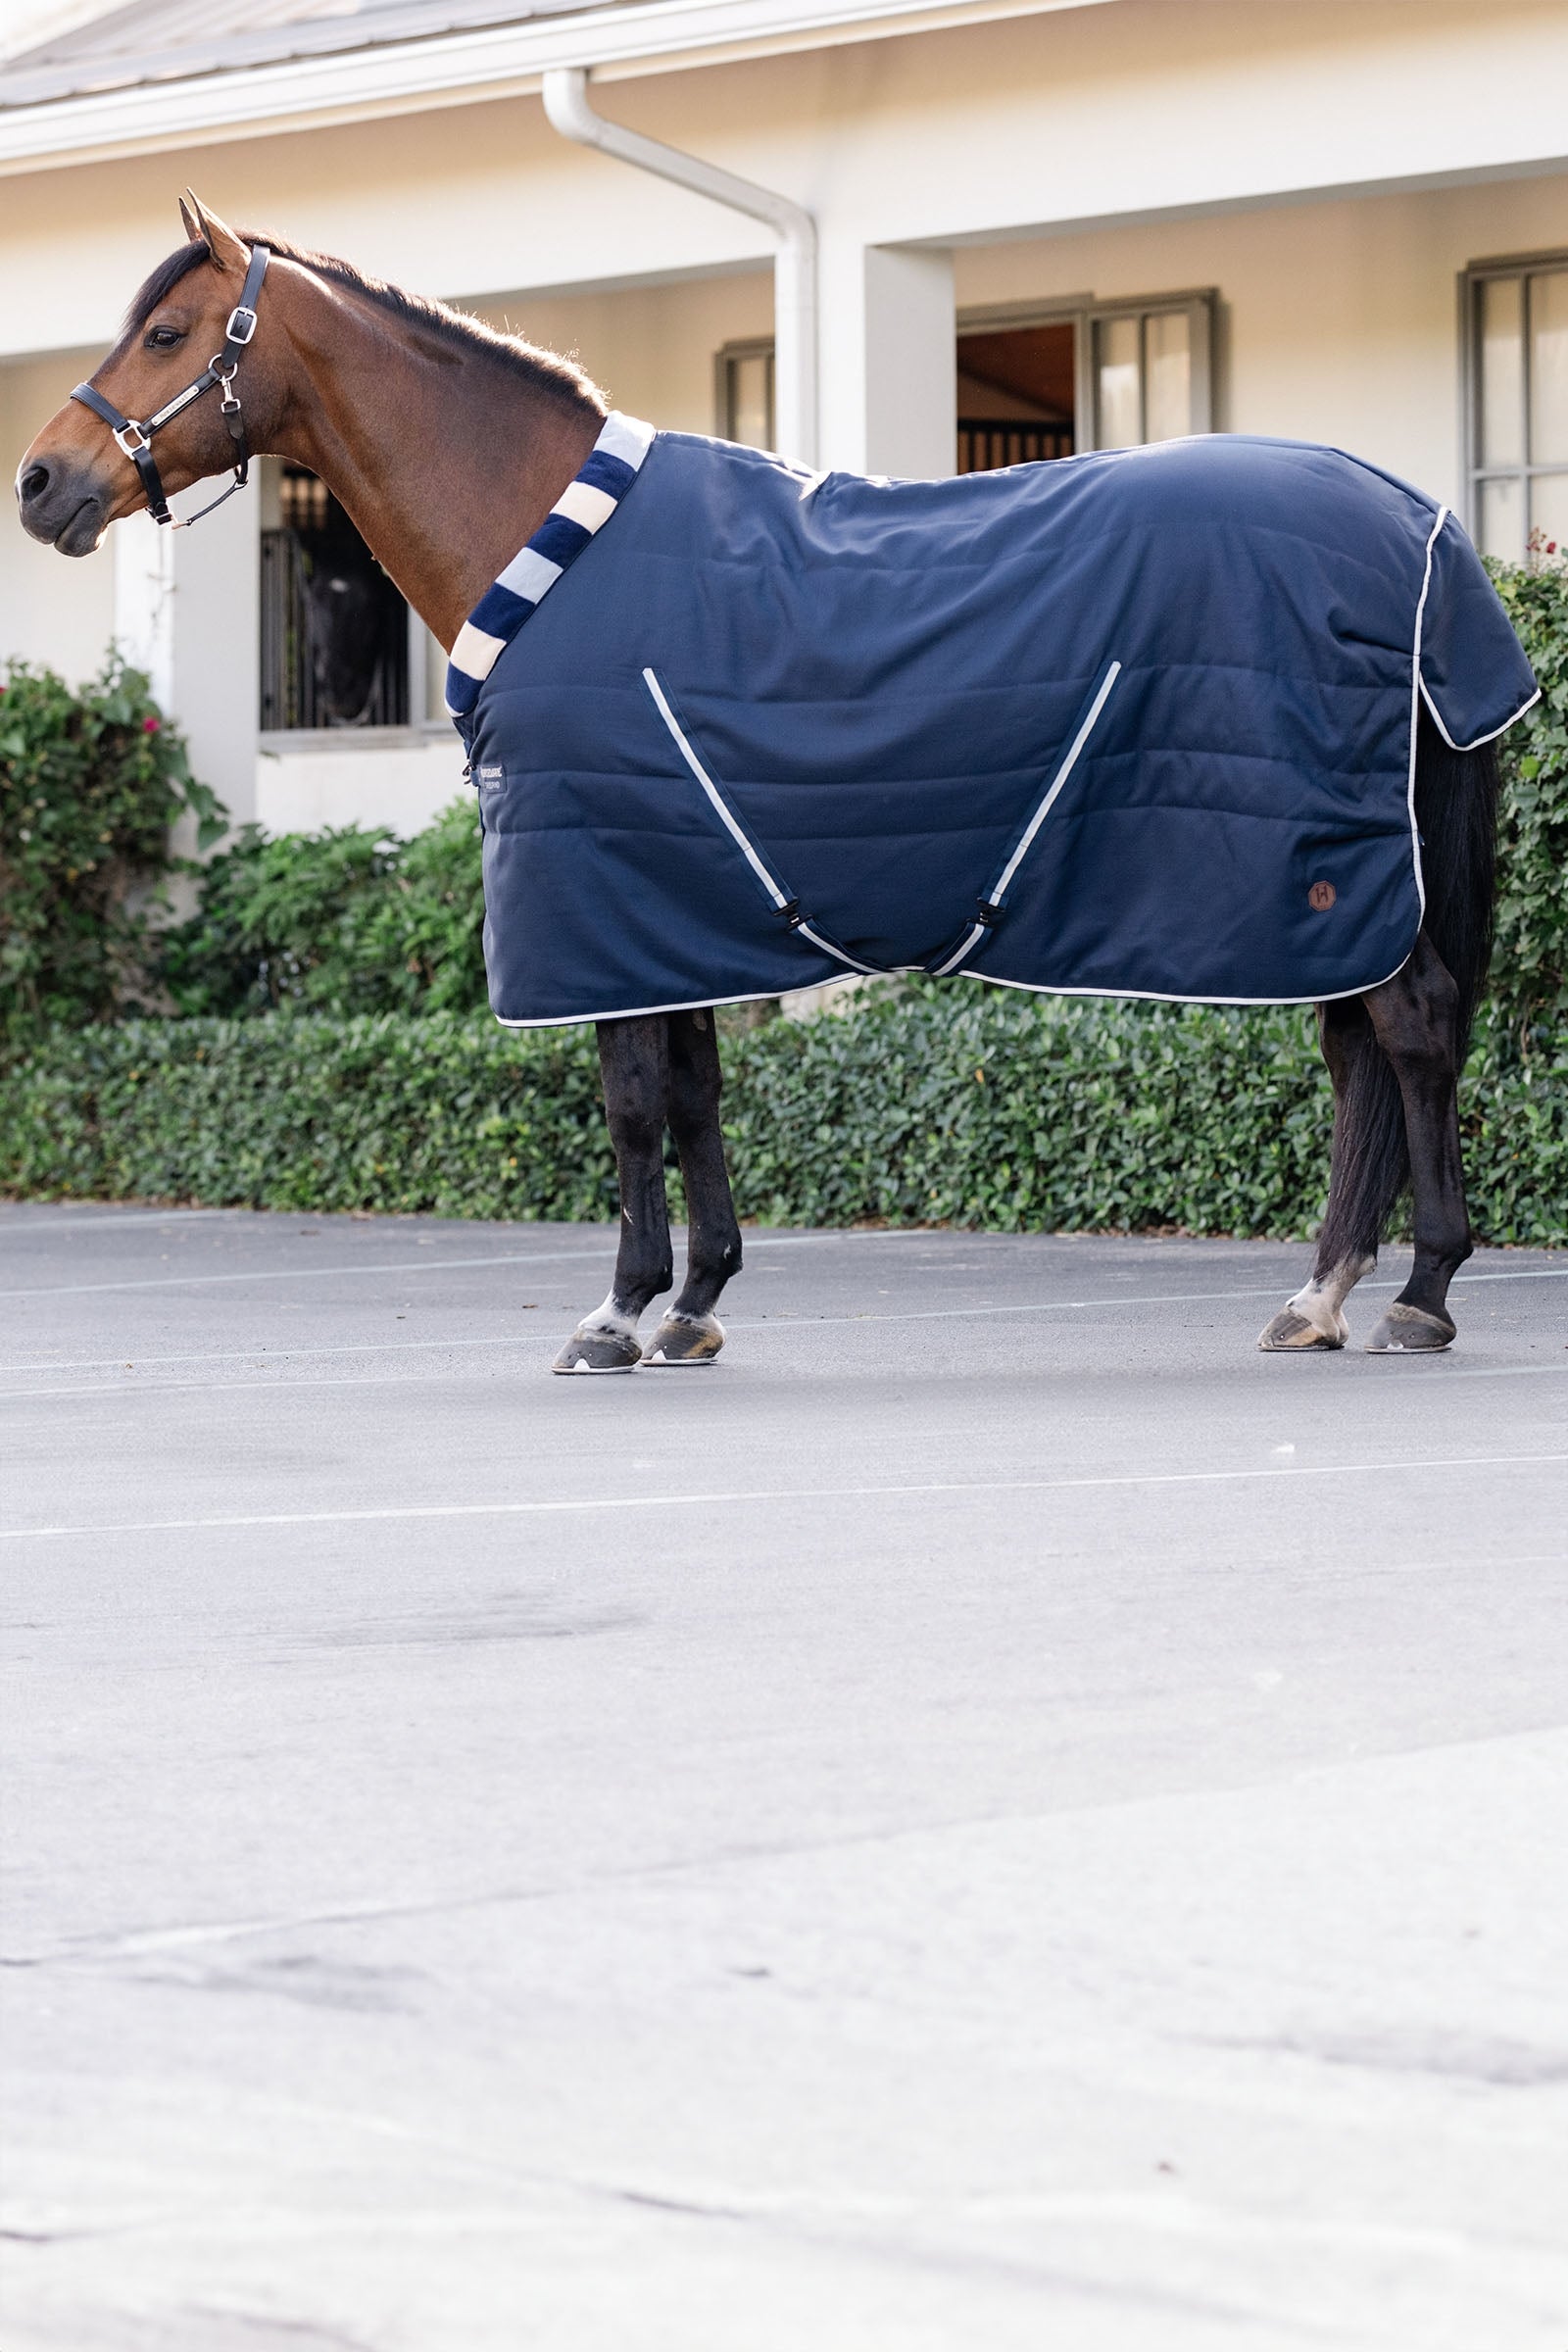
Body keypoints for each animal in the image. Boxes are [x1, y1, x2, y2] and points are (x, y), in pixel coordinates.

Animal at [16, 197, 1532, 1370]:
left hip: (1334, 875)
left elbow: (634, 1102)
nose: (41, 483)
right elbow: (691, 1091)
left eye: (166, 333)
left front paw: (617, 1315)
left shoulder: (602, 891)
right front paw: (694, 1304)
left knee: (1410, 1035)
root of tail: (1420, 528)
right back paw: (1318, 1294)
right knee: (1360, 1056)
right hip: (1333, 886)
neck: (552, 545)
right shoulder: (664, 901)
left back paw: (1419, 1294)